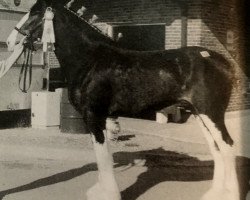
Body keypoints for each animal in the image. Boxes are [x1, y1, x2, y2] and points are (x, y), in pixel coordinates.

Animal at [6, 0, 239, 200]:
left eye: (35, 13)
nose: (9, 42)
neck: (91, 59)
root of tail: (223, 62)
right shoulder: (100, 118)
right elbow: (103, 154)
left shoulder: (94, 115)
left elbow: (102, 155)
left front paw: (109, 194)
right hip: (200, 114)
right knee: (217, 149)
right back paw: (214, 193)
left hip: (212, 113)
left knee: (227, 146)